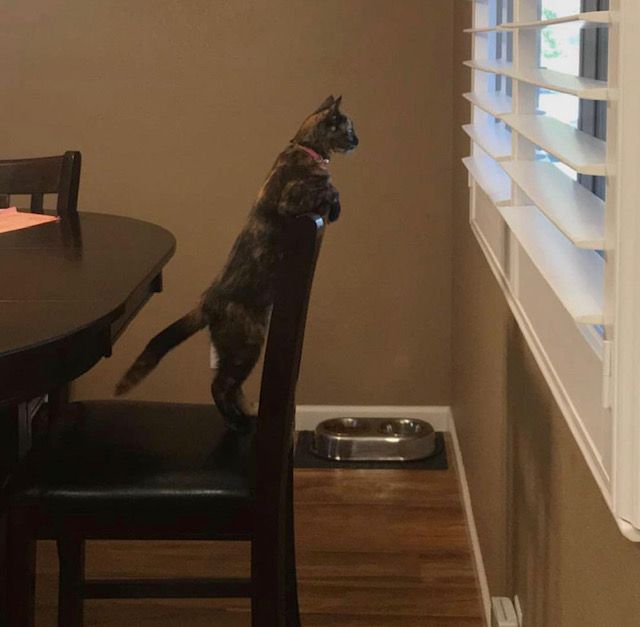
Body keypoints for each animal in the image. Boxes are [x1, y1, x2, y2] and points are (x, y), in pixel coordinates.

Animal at [115, 95, 358, 431]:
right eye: (349, 127)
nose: (358, 140)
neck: (307, 149)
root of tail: (206, 302)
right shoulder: (291, 201)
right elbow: (330, 189)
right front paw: (334, 200)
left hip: (239, 348)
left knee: (231, 386)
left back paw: (245, 414)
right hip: (247, 345)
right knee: (219, 385)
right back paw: (237, 423)